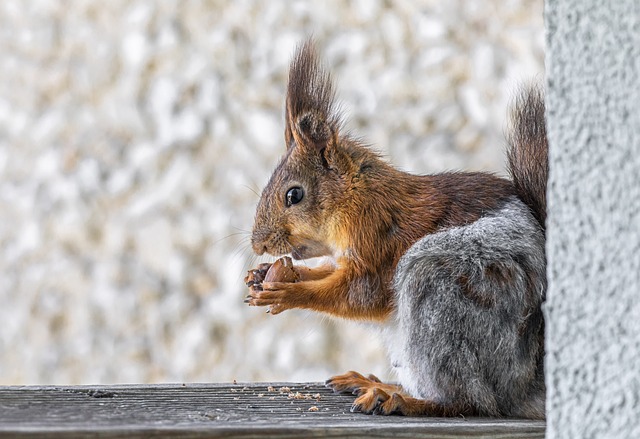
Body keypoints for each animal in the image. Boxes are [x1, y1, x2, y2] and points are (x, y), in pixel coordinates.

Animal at [242, 40, 548, 420]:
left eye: (293, 195)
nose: (258, 244)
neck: (357, 196)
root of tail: (521, 388)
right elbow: (328, 272)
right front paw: (267, 274)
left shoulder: (379, 241)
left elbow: (361, 295)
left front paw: (287, 293)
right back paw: (376, 384)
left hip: (438, 287)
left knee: (470, 402)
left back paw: (400, 399)